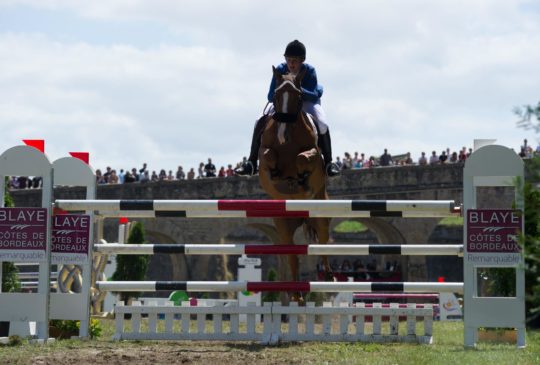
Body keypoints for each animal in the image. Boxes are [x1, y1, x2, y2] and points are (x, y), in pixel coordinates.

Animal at [258, 66, 334, 302]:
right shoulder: (264, 155)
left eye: (299, 96)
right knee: (291, 253)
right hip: (283, 225)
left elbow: (302, 158)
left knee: (323, 242)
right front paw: (280, 176)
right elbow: (268, 156)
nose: (283, 134)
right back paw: (296, 294)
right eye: (275, 96)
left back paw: (328, 278)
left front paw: (300, 179)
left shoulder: (313, 156)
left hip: (321, 213)